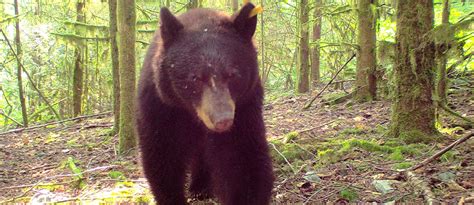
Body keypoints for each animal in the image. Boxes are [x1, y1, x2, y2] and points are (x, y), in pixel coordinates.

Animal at [135, 2, 274, 205]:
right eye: (195, 77)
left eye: (232, 74)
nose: (222, 120)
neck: (192, 113)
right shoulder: (161, 107)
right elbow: (163, 156)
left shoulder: (244, 108)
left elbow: (241, 158)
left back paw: (200, 187)